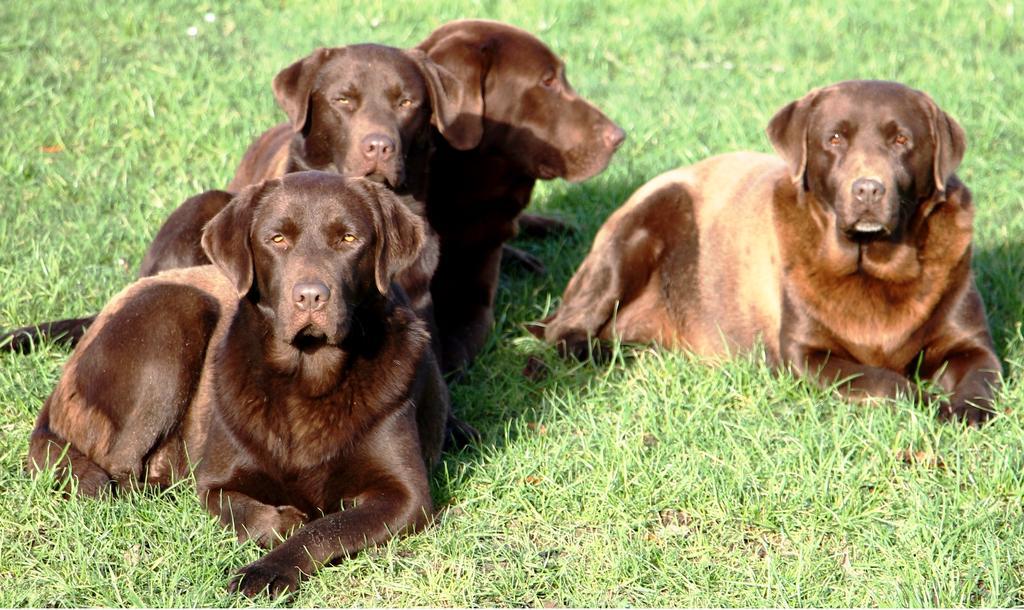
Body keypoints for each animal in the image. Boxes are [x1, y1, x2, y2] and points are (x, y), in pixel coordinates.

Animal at [27, 171, 448, 597]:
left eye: (348, 238)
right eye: (277, 238)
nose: (311, 296)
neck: (307, 374)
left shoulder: (407, 497)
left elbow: (326, 528)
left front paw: (268, 570)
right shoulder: (216, 482)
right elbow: (258, 516)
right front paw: (280, 528)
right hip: (178, 314)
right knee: (121, 470)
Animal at [540, 79, 1003, 423]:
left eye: (902, 140)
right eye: (835, 139)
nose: (868, 189)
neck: (874, 264)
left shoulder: (971, 344)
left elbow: (981, 375)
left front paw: (964, 409)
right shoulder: (805, 354)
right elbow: (884, 382)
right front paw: (924, 401)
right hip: (642, 222)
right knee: (562, 328)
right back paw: (594, 350)